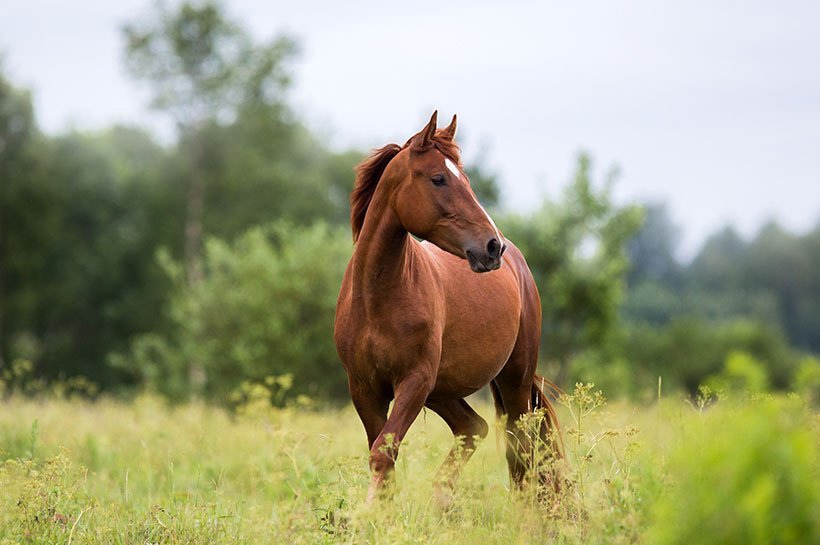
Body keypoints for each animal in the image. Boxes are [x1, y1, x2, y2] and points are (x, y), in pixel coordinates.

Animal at [332, 111, 556, 502]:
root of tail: (519, 267)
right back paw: (443, 497)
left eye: (464, 178)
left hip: (512, 378)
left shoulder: (414, 381)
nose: (492, 246)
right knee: (474, 428)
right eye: (438, 178)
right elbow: (381, 455)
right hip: (443, 391)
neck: (376, 300)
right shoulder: (364, 388)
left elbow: (383, 453)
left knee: (521, 449)